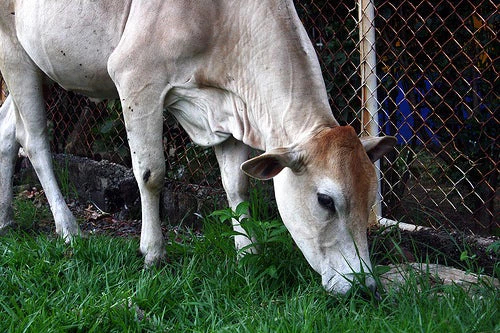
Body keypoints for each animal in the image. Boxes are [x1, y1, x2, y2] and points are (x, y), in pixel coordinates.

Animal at [1, 1, 396, 294]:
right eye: (325, 200)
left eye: (370, 198)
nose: (365, 286)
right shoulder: (136, 77)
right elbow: (151, 174)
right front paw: (153, 253)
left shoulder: (231, 111)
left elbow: (237, 186)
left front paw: (247, 255)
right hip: (14, 51)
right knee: (33, 142)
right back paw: (68, 229)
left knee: (7, 130)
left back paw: (6, 218)